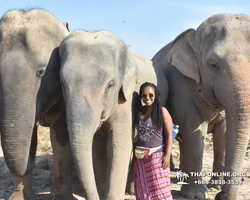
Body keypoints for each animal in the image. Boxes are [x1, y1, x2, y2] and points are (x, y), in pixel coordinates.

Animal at [58, 29, 168, 200]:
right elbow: (99, 148)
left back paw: (131, 191)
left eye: (110, 85)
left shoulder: (128, 101)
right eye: (61, 82)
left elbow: (118, 145)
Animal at [151, 13, 250, 199]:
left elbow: (223, 134)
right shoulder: (181, 87)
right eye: (214, 65)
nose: (221, 196)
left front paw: (214, 187)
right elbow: (194, 133)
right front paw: (196, 194)